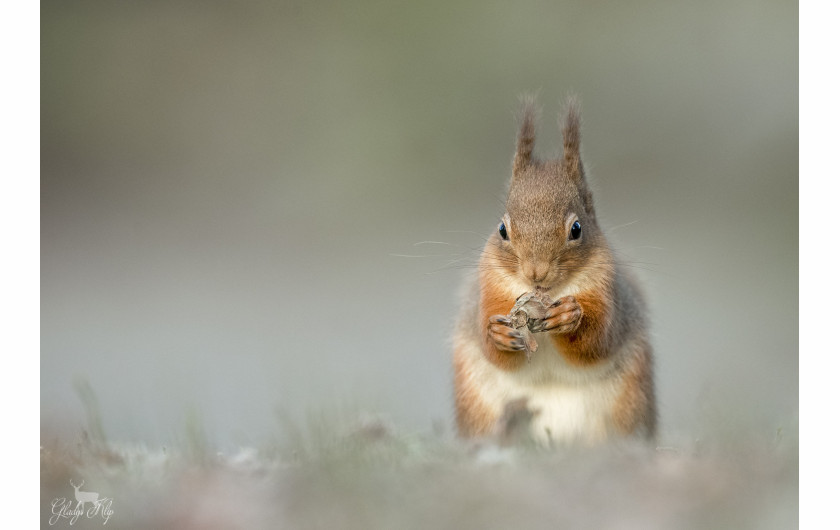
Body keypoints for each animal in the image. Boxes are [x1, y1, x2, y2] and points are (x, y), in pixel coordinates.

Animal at [452, 97, 656, 444]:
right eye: (502, 230)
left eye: (576, 229)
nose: (537, 273)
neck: (547, 294)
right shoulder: (489, 288)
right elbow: (490, 344)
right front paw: (497, 333)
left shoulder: (609, 292)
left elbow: (600, 340)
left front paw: (570, 317)